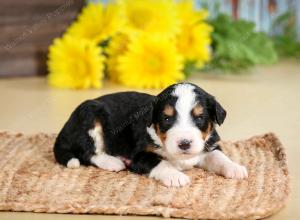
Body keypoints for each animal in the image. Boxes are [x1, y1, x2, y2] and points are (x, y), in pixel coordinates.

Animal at [54, 83, 248, 186]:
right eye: (167, 118)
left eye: (200, 117)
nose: (184, 143)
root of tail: (64, 130)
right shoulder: (139, 155)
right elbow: (161, 162)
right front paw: (176, 177)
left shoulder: (208, 145)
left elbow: (219, 156)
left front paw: (235, 168)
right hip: (90, 116)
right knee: (88, 152)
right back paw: (113, 162)